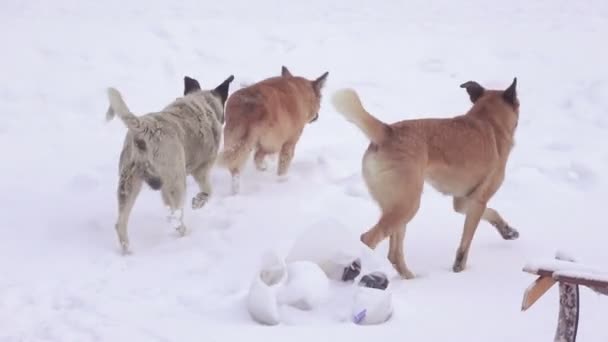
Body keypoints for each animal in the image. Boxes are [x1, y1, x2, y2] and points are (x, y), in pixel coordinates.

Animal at [104, 75, 233, 254]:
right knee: (176, 215)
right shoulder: (202, 170)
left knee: (120, 224)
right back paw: (184, 234)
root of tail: (145, 128)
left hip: (129, 183)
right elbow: (208, 192)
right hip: (176, 181)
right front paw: (198, 202)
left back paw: (127, 251)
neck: (202, 102)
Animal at [215, 66, 328, 194]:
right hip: (271, 142)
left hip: (235, 139)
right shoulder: (289, 143)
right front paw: (282, 180)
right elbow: (283, 165)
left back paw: (236, 191)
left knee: (236, 168)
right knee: (258, 156)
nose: (317, 116)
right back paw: (268, 172)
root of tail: (250, 107)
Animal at [330, 78, 520, 278]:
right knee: (368, 239)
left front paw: (508, 231)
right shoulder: (478, 200)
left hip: (398, 206)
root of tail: (387, 132)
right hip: (408, 205)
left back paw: (410, 279)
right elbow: (466, 242)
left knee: (394, 254)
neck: (488, 121)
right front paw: (459, 268)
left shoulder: (462, 202)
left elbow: (492, 212)